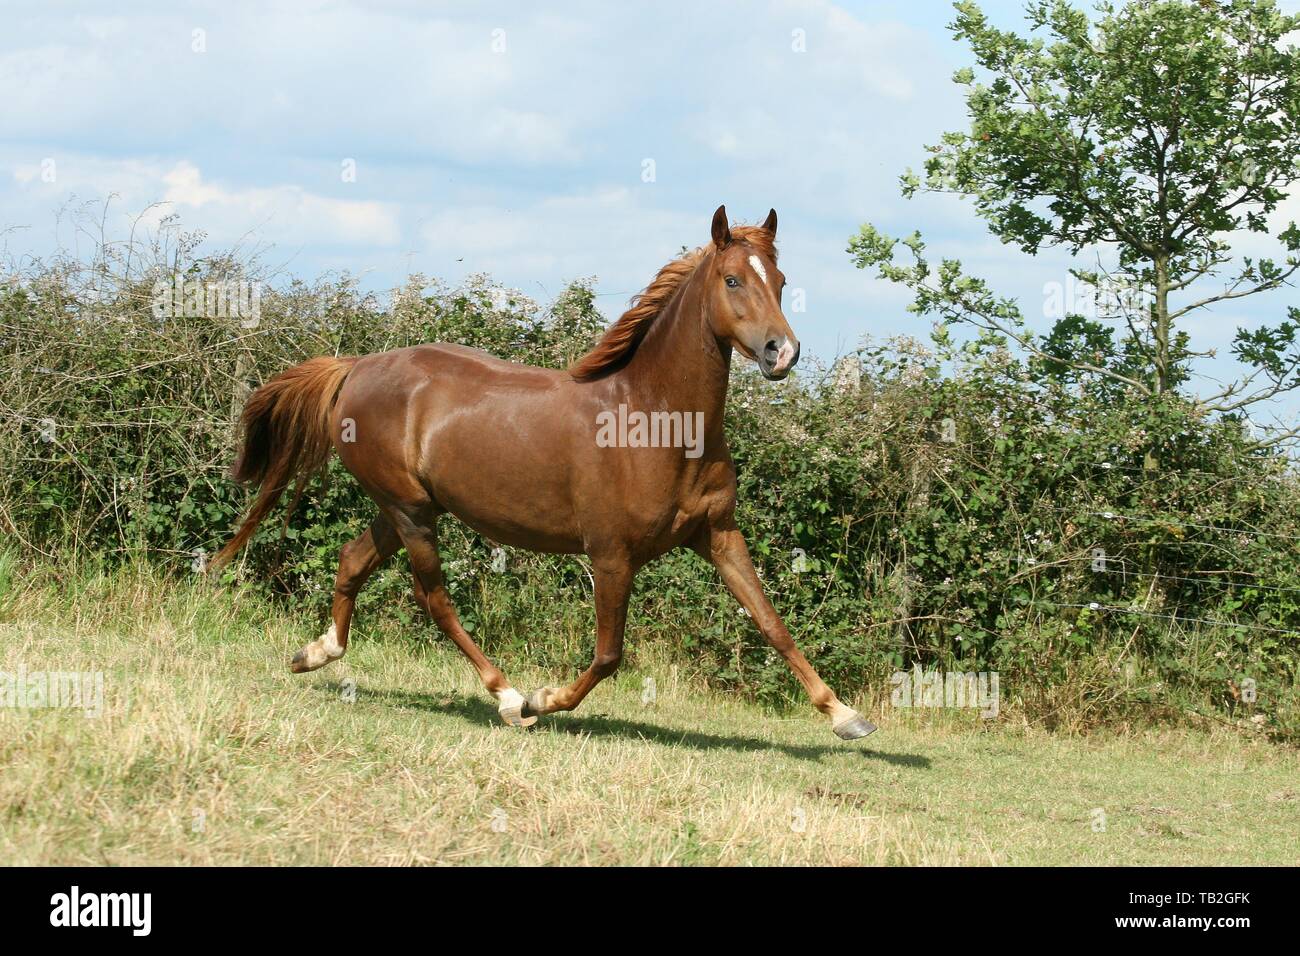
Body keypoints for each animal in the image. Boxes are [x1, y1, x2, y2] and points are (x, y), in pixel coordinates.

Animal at [215, 204, 873, 738]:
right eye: (733, 279)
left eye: (781, 282)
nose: (782, 353)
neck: (654, 419)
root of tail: (356, 367)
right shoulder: (611, 555)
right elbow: (609, 655)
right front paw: (542, 699)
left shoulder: (717, 534)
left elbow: (772, 622)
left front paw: (845, 716)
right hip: (412, 512)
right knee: (434, 599)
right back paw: (508, 698)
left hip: (403, 507)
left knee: (353, 561)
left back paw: (314, 653)